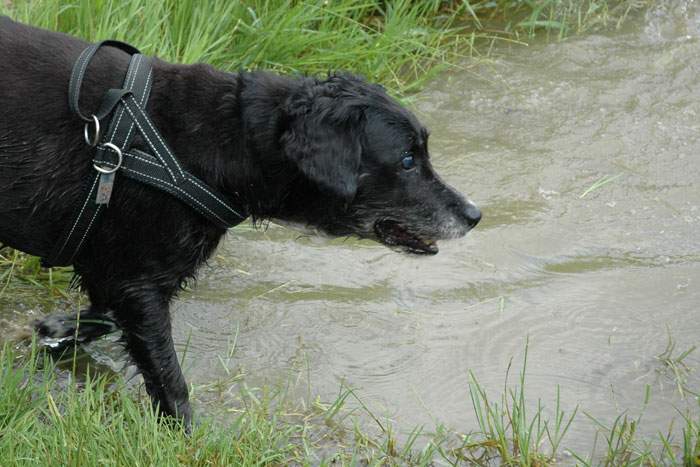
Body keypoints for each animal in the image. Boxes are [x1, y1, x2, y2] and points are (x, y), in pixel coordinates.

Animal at [0, 17, 482, 428]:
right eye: (407, 160)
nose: (474, 215)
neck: (231, 139)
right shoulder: (139, 282)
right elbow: (169, 380)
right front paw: (187, 436)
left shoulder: (118, 269)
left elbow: (107, 313)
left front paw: (57, 330)